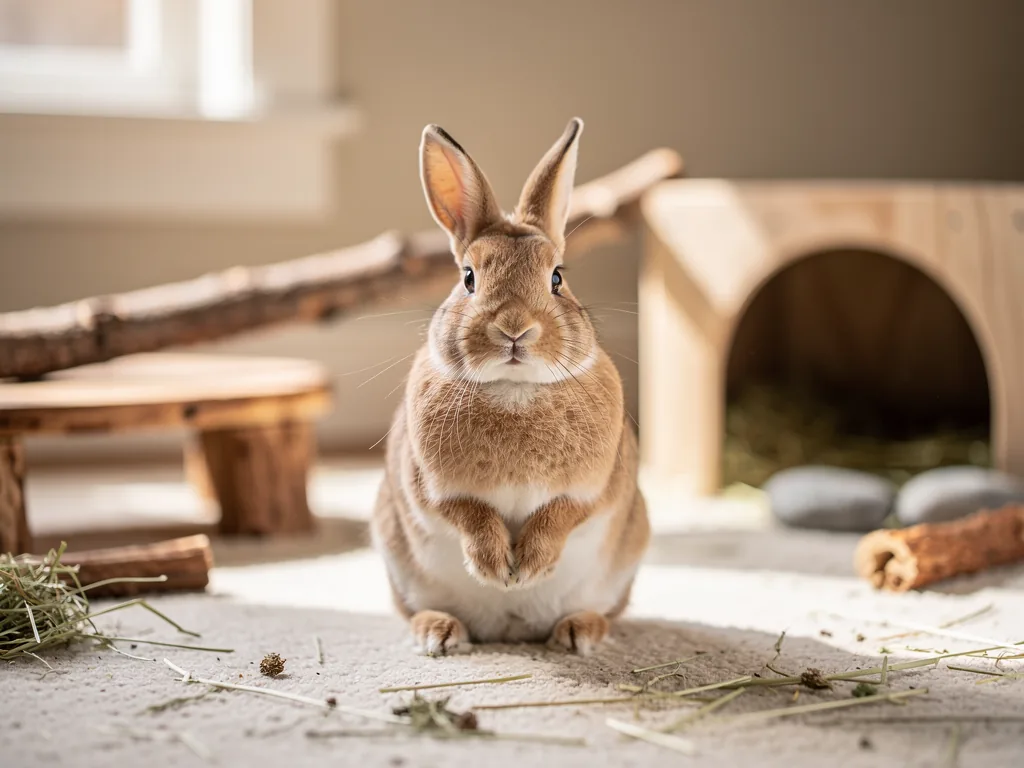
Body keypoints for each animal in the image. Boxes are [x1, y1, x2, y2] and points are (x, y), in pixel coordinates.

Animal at [370, 117, 650, 656]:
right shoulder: (430, 486)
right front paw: (497, 569)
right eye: (468, 278)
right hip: (397, 560)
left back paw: (578, 633)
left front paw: (530, 566)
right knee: (414, 611)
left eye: (557, 278)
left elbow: (563, 513)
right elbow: (467, 513)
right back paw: (439, 632)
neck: (515, 389)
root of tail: (511, 631)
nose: (515, 329)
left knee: (606, 611)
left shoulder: (596, 487)